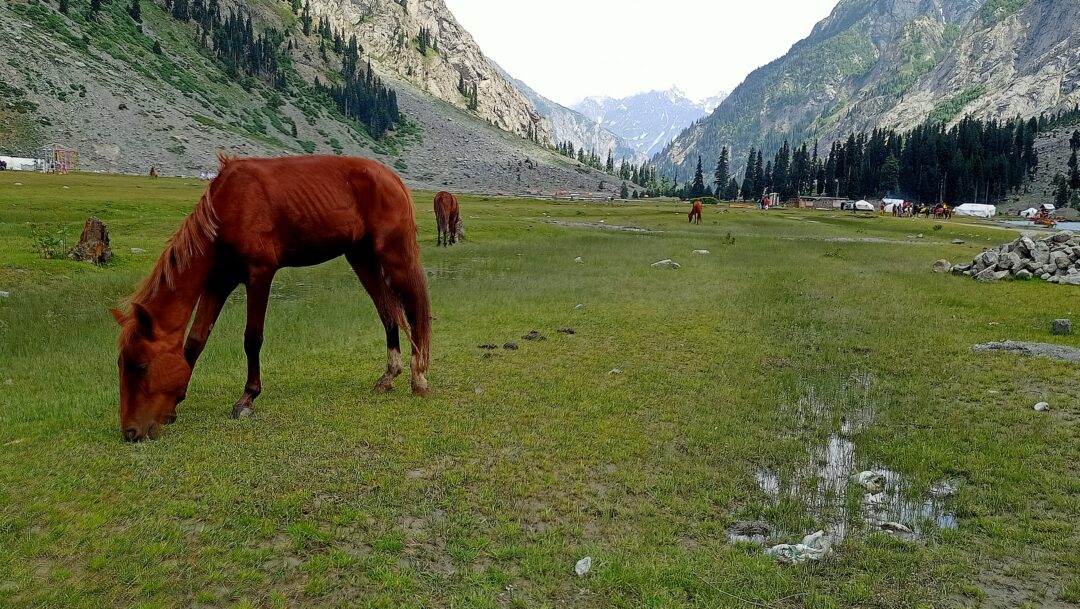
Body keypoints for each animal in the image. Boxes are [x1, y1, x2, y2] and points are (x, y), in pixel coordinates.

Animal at [108, 154, 429, 442]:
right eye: (122, 365)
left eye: (140, 367)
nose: (130, 432)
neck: (227, 207)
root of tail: (392, 177)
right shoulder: (218, 282)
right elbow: (195, 341)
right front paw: (176, 403)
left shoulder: (259, 274)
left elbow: (252, 339)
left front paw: (247, 399)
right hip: (361, 257)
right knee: (387, 312)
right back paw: (389, 376)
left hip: (394, 255)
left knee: (414, 310)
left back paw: (418, 379)